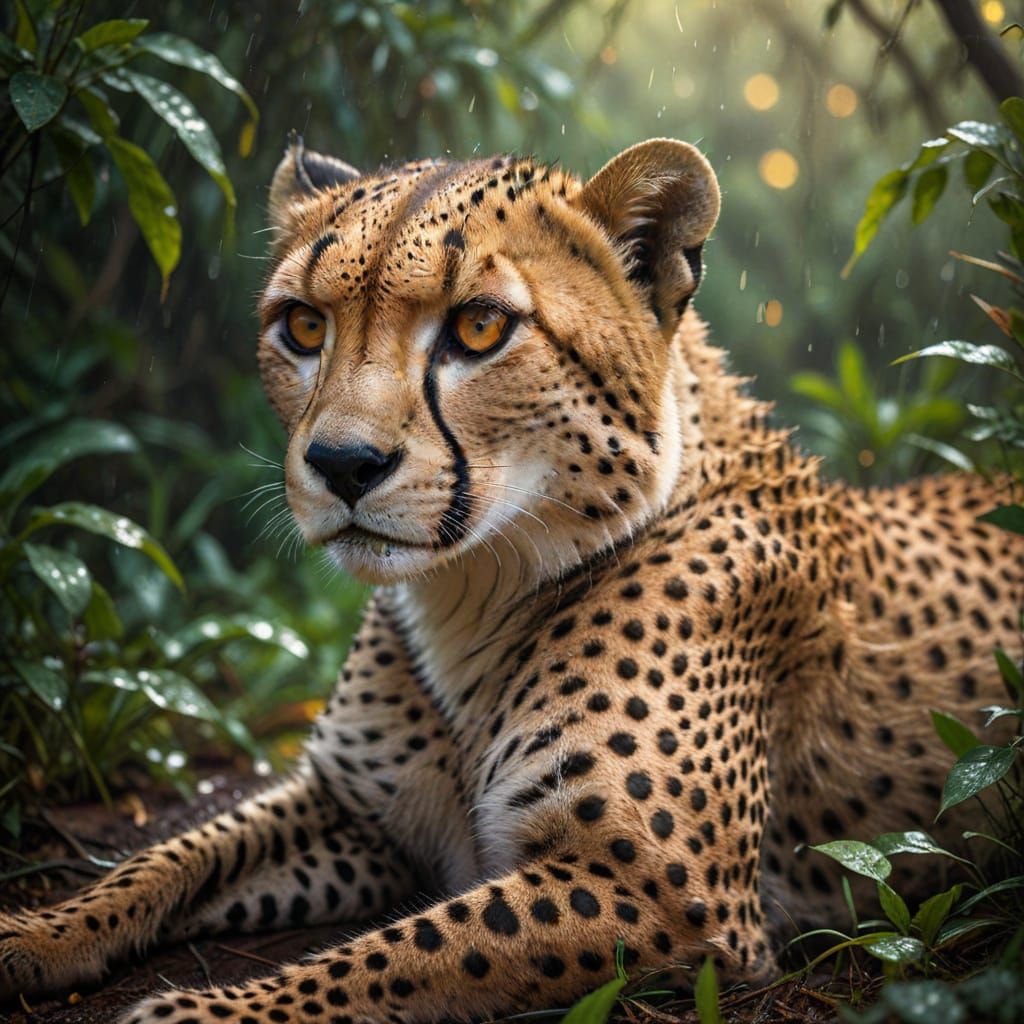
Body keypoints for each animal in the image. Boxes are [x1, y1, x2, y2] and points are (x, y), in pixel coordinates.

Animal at [1, 135, 1022, 1024]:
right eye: (303, 325)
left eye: (479, 326)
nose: (341, 464)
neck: (472, 590)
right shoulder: (357, 813)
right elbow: (173, 855)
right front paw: (36, 932)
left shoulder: (665, 896)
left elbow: (394, 959)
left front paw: (210, 1014)